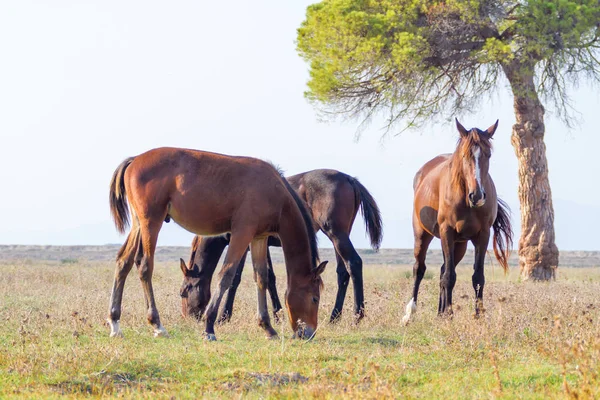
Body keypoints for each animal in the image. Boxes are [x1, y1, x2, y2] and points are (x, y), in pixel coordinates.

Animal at [105, 147, 326, 340]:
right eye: (315, 298)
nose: (308, 333)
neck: (275, 191)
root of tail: (135, 160)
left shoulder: (259, 238)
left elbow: (261, 277)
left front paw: (268, 328)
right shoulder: (241, 233)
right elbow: (226, 276)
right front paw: (209, 326)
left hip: (138, 225)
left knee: (123, 262)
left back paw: (115, 324)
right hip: (151, 222)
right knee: (144, 265)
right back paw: (157, 325)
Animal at [179, 167, 384, 324]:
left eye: (183, 292)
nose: (188, 318)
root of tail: (349, 179)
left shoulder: (241, 243)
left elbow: (235, 278)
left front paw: (224, 316)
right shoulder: (261, 243)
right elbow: (269, 278)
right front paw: (278, 315)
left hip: (336, 233)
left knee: (354, 263)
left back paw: (357, 316)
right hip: (340, 236)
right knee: (342, 271)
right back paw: (334, 317)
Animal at [400, 119, 512, 324]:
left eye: (488, 154)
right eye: (465, 154)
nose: (477, 195)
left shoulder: (482, 235)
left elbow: (477, 277)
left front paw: (478, 315)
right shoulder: (447, 232)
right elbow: (449, 277)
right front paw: (450, 314)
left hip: (460, 244)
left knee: (443, 269)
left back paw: (440, 312)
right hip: (422, 235)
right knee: (419, 269)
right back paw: (410, 313)